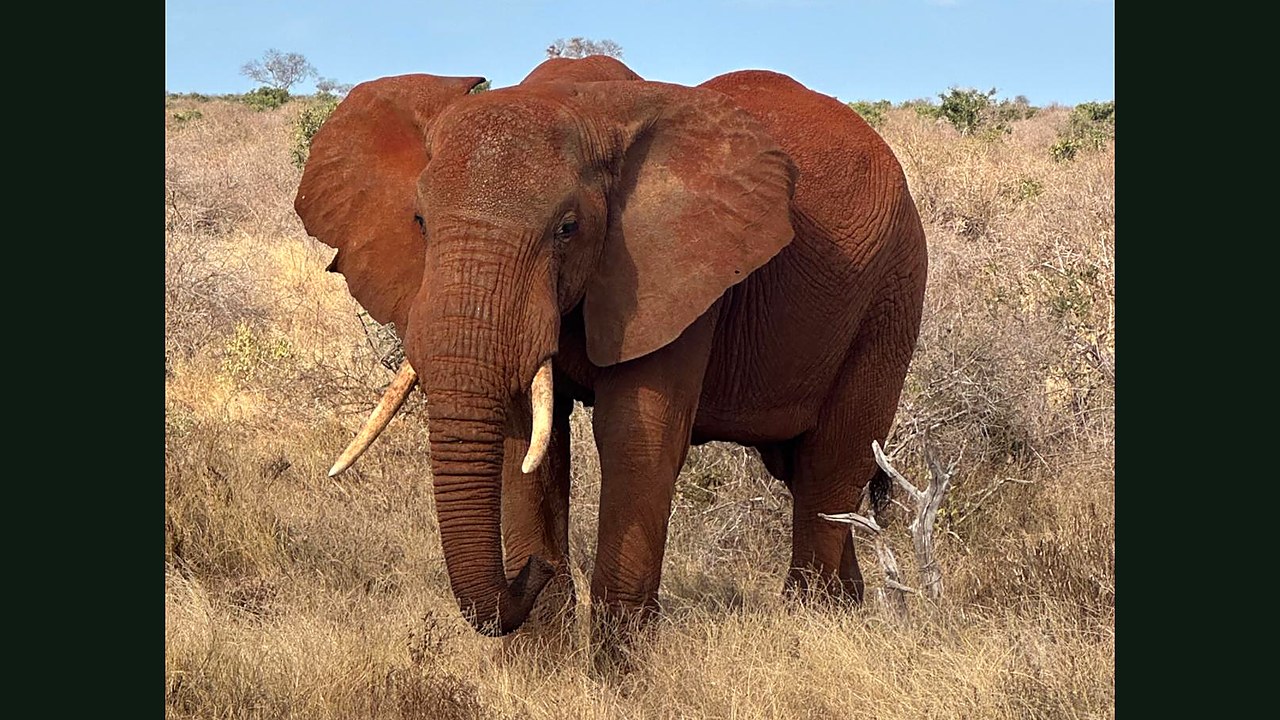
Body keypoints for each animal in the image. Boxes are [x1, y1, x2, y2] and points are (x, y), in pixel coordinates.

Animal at [293, 55, 928, 640]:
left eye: (567, 229)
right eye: (421, 222)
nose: (533, 569)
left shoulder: (674, 273)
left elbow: (636, 439)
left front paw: (618, 672)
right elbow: (530, 440)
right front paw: (543, 661)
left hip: (891, 294)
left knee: (830, 468)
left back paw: (811, 627)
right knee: (803, 472)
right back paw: (846, 613)